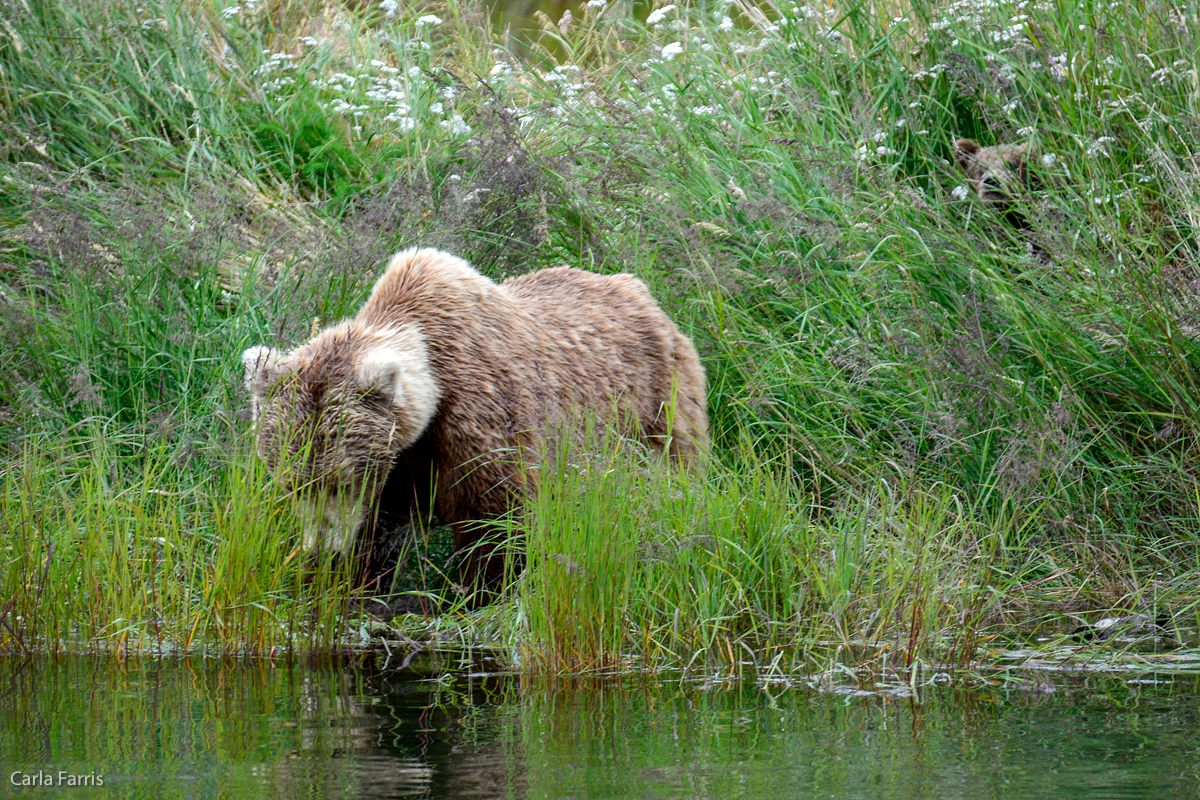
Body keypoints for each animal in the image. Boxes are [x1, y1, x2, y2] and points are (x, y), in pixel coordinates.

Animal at [244, 248, 710, 594]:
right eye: (292, 483)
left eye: (340, 481)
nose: (322, 550)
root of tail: (638, 289)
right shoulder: (400, 459)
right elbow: (377, 533)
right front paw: (348, 583)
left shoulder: (474, 420)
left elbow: (495, 521)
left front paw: (483, 591)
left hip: (654, 404)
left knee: (674, 473)